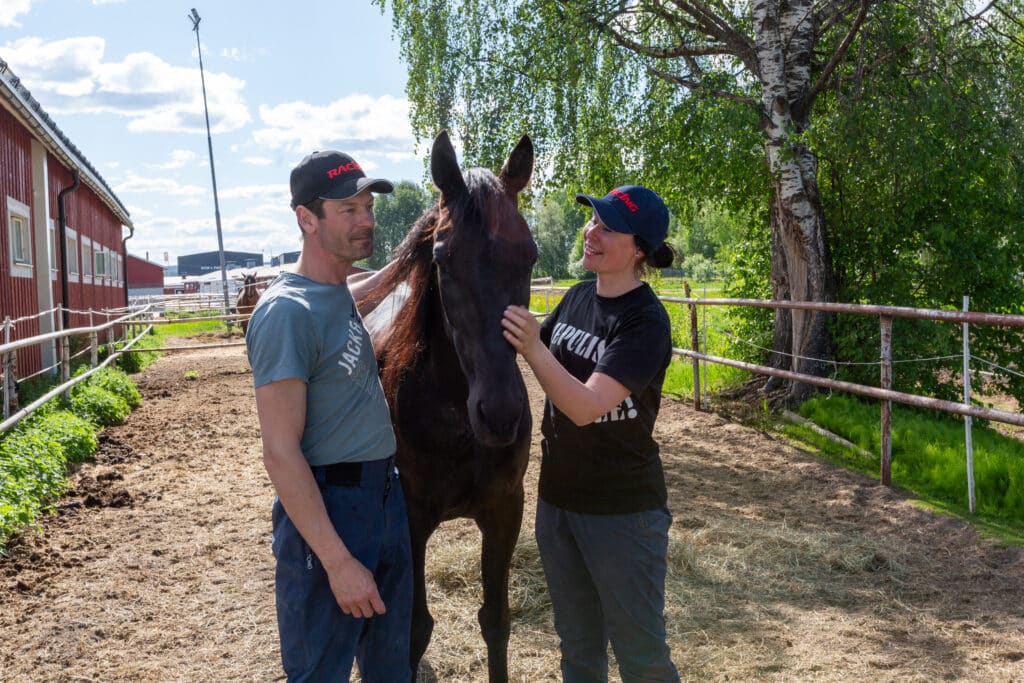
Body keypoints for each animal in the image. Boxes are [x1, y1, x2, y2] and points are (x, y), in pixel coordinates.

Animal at [358, 131, 536, 679]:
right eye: (442, 258)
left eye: (530, 256)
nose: (500, 414)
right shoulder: (412, 521)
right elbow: (415, 630)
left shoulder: (505, 511)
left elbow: (496, 622)